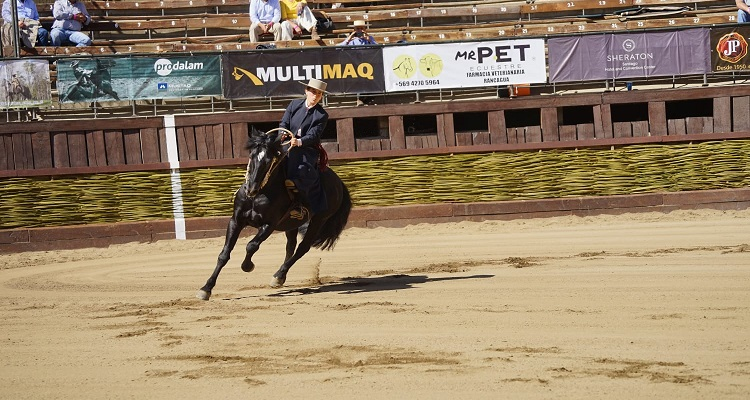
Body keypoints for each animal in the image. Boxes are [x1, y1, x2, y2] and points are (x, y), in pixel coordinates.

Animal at [198, 126, 354, 298]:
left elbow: (251, 246)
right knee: (290, 246)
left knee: (302, 248)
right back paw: (280, 277)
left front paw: (247, 266)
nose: (251, 189)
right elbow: (224, 254)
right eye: (251, 156)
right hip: (291, 224)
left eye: (269, 161)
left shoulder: (269, 225)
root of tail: (338, 183)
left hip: (318, 221)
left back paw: (278, 275)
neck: (259, 194)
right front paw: (206, 288)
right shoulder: (236, 221)